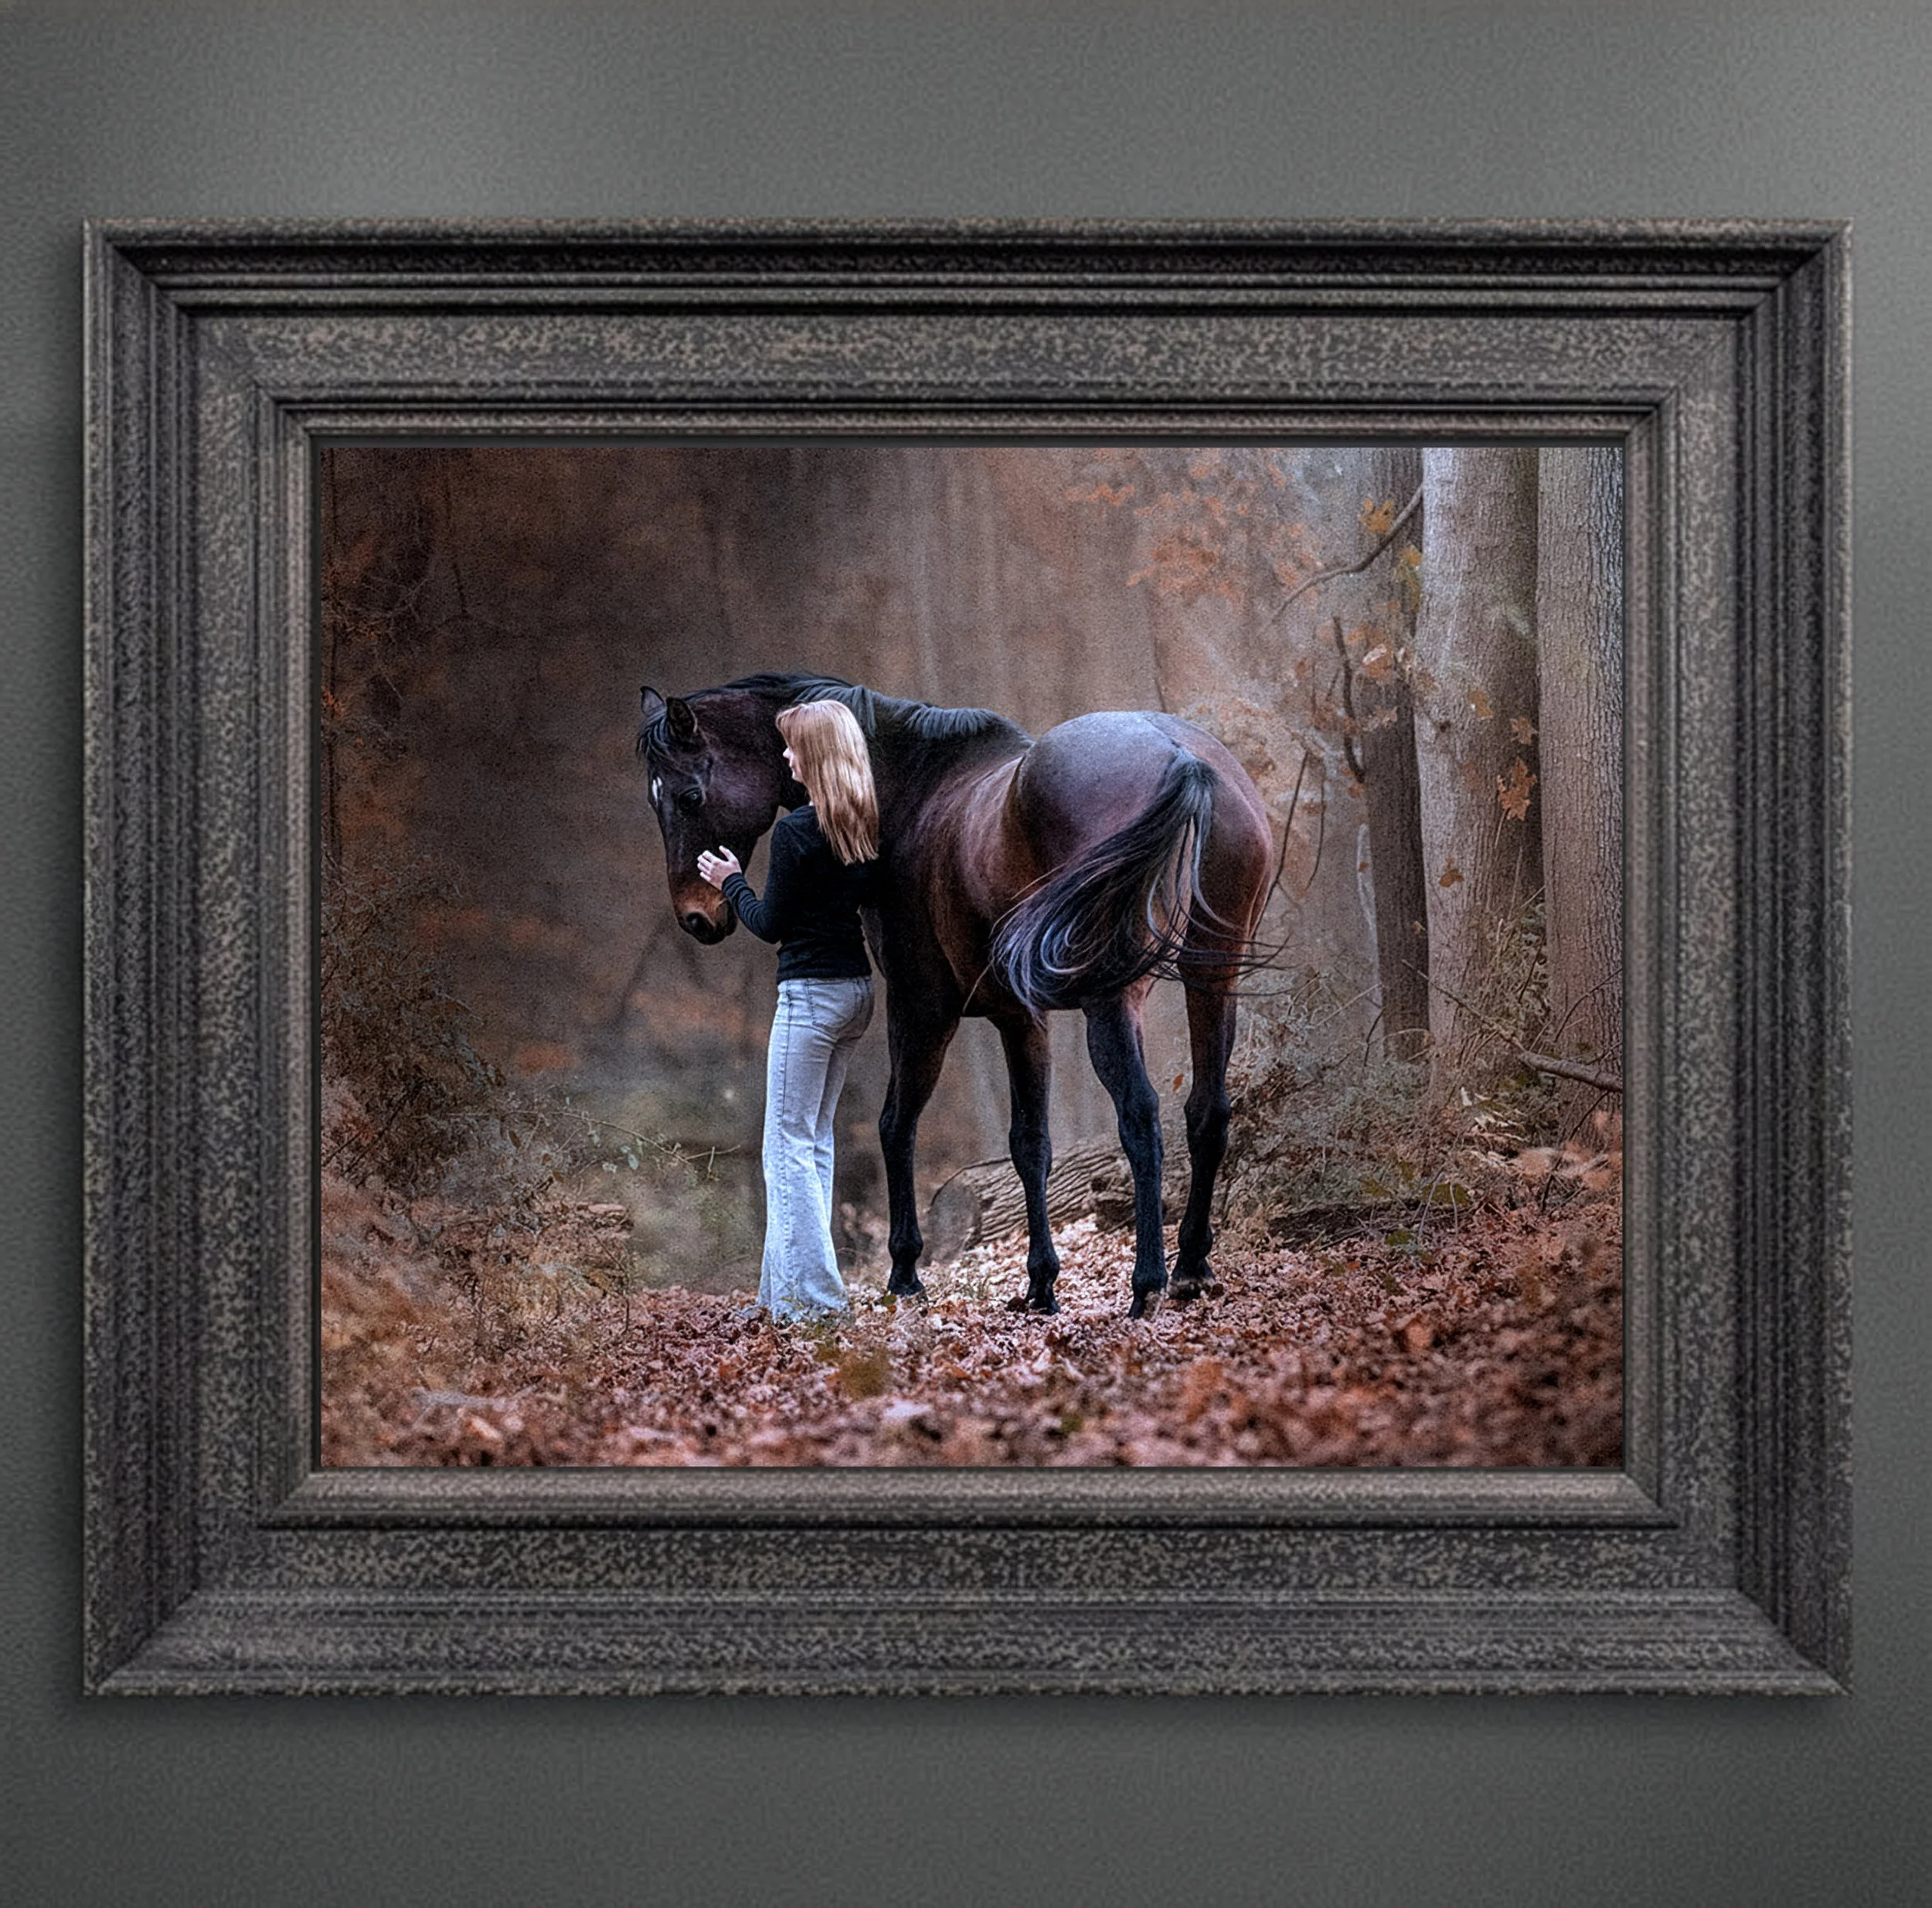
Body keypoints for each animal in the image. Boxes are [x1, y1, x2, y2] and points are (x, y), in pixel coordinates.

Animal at [636, 673, 1273, 1319]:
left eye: (689, 796)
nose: (696, 917)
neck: (906, 796)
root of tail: (1182, 756)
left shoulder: (922, 1008)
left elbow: (897, 1125)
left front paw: (904, 1271)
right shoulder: (1021, 1017)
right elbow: (1030, 1144)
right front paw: (1041, 1283)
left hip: (1111, 1002)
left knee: (1141, 1118)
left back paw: (1147, 1282)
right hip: (1213, 980)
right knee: (1208, 1112)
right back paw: (1191, 1266)